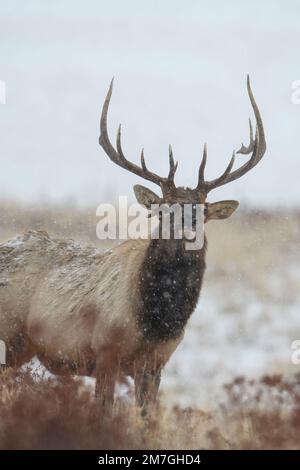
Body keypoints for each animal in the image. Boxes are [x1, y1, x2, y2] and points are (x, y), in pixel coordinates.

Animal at [0, 77, 268, 414]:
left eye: (201, 213)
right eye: (164, 211)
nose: (185, 234)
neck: (157, 321)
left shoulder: (157, 362)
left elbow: (146, 417)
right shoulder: (105, 350)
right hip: (11, 337)